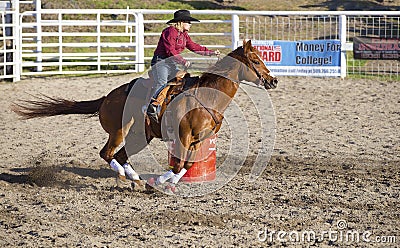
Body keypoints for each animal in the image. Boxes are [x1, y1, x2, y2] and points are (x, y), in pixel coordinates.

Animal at [11, 39, 276, 190]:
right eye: (255, 60)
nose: (273, 80)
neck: (206, 97)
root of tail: (106, 97)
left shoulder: (199, 140)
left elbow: (187, 165)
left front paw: (166, 184)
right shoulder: (183, 136)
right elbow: (179, 164)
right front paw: (159, 181)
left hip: (141, 136)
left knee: (122, 155)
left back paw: (136, 180)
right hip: (120, 131)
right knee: (107, 153)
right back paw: (126, 177)